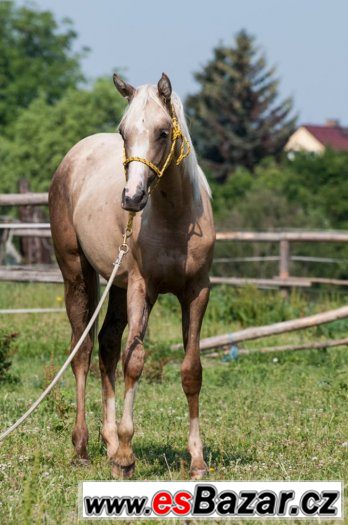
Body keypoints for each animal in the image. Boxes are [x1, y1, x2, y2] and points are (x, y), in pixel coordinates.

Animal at [48, 73, 215, 478]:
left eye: (162, 132)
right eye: (123, 132)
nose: (132, 198)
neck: (175, 219)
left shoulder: (197, 292)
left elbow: (191, 370)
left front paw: (197, 460)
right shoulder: (143, 289)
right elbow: (134, 361)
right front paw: (126, 455)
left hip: (117, 286)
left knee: (107, 344)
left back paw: (107, 443)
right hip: (77, 275)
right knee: (83, 350)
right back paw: (84, 447)